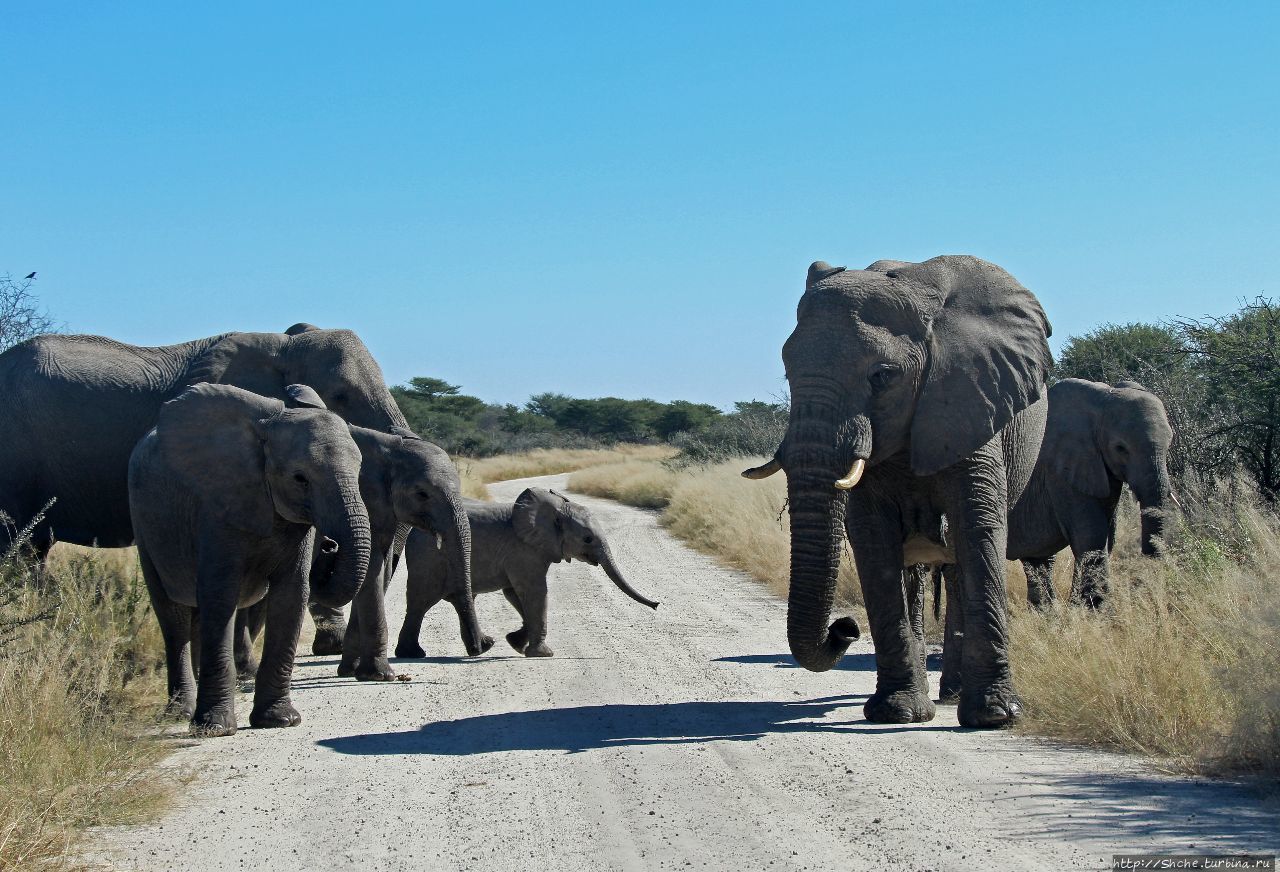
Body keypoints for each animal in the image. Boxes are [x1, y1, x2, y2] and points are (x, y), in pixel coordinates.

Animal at [128, 384, 371, 732]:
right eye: (300, 478)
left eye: (360, 470)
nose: (329, 546)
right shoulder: (217, 508)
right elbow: (220, 595)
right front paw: (214, 727)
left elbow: (290, 596)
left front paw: (280, 720)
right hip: (146, 527)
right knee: (172, 616)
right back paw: (181, 712)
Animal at [394, 486, 660, 655]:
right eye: (587, 539)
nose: (657, 605)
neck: (554, 511)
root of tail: (413, 529)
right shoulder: (524, 551)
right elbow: (534, 592)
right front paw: (543, 654)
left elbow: (515, 594)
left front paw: (516, 643)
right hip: (428, 558)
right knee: (422, 601)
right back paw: (415, 654)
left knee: (455, 600)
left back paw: (478, 648)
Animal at [742, 253, 1049, 727]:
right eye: (788, 368)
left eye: (883, 376)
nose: (845, 627)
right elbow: (873, 540)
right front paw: (896, 712)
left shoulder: (971, 402)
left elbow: (978, 529)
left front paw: (996, 716)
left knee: (957, 564)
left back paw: (955, 696)